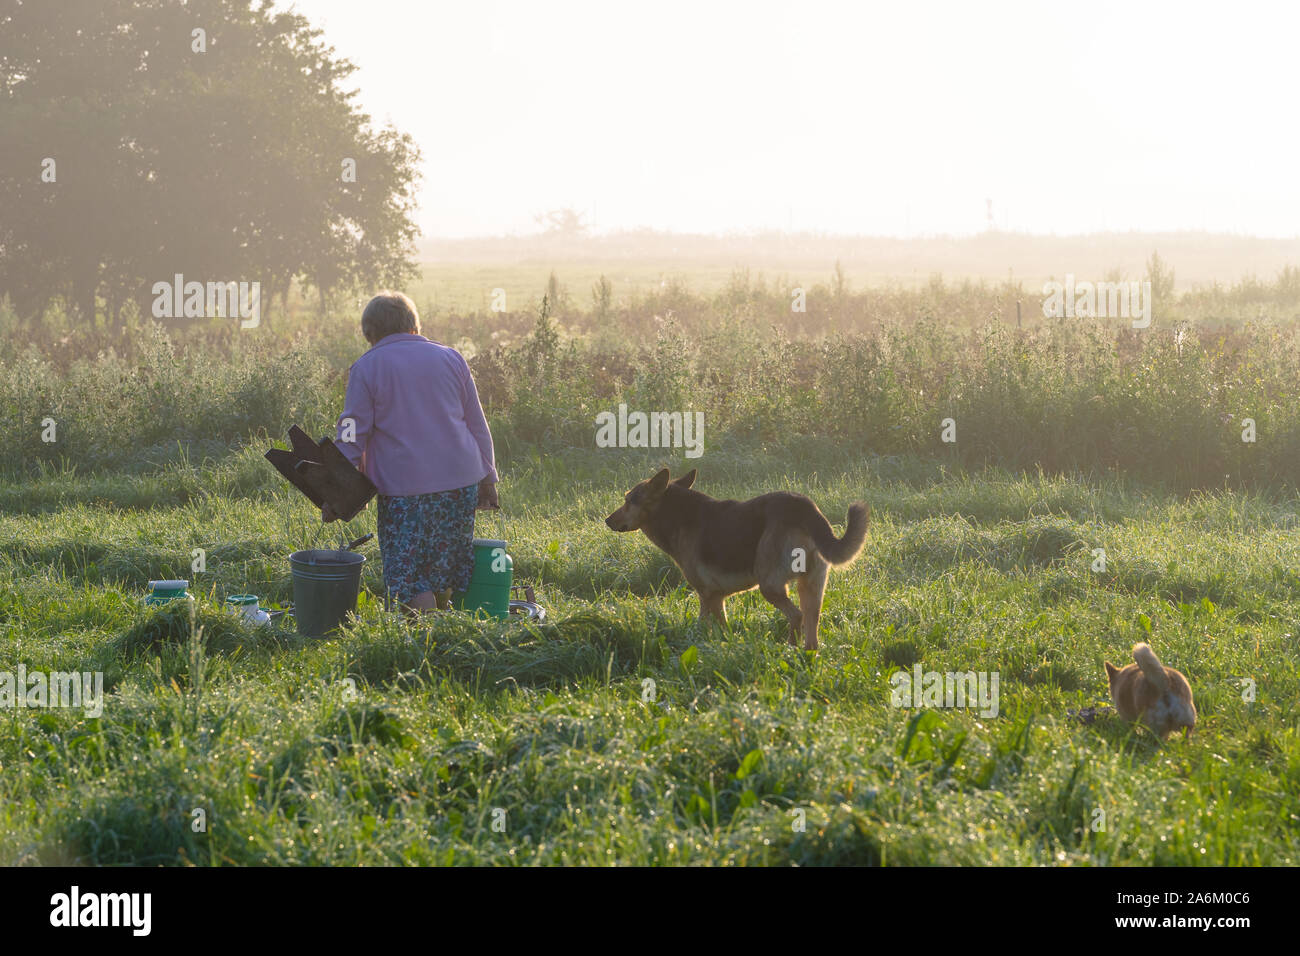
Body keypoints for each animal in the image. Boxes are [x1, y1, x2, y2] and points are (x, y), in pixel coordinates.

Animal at [603, 468, 868, 650]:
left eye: (628, 500)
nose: (607, 520)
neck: (675, 513)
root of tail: (805, 508)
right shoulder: (717, 598)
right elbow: (724, 629)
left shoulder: (707, 596)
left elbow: (703, 627)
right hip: (812, 587)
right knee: (811, 629)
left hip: (769, 585)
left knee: (796, 616)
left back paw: (789, 648)